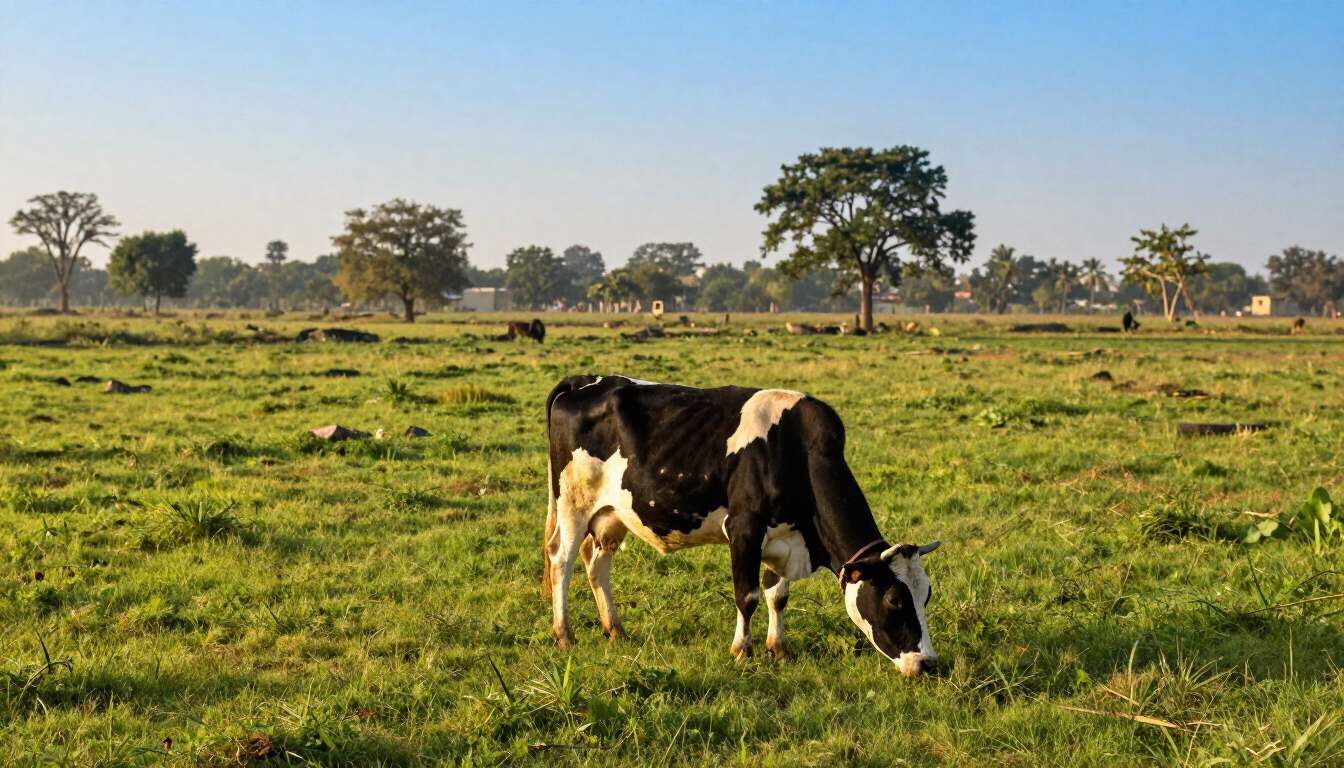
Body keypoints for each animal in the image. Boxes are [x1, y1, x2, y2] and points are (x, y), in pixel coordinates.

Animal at [542, 375, 941, 677]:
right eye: (894, 600)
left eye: (927, 594)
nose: (929, 664)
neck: (797, 451)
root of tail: (587, 381)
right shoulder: (744, 529)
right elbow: (746, 596)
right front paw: (741, 652)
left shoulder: (783, 538)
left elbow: (777, 595)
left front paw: (779, 649)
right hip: (573, 501)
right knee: (561, 558)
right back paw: (565, 635)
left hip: (612, 513)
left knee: (597, 563)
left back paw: (616, 630)